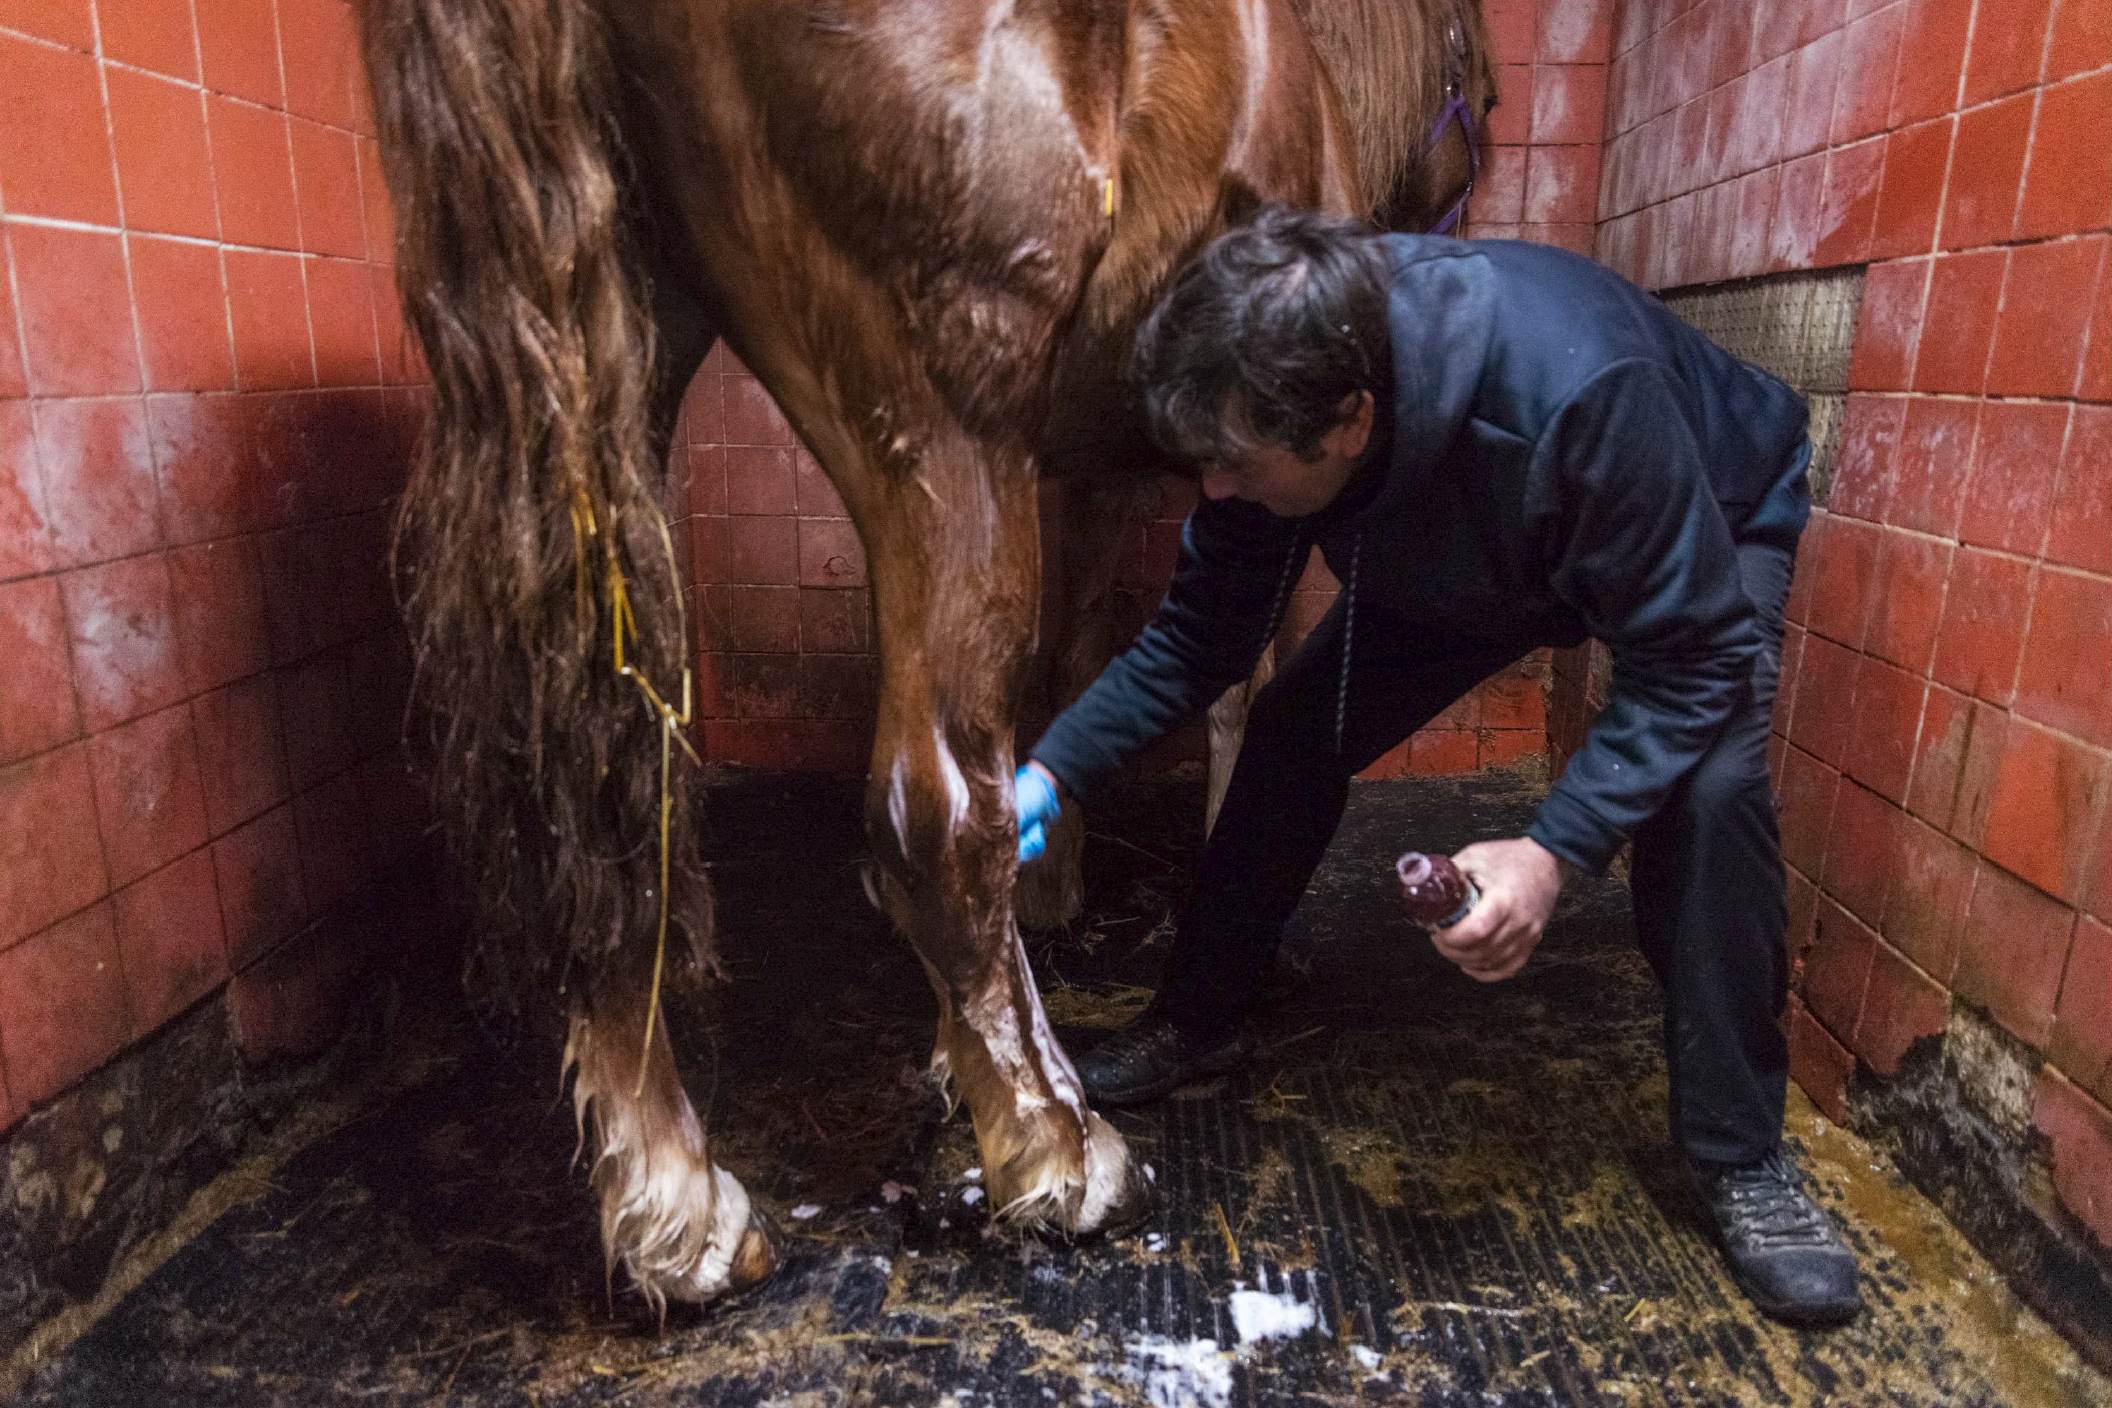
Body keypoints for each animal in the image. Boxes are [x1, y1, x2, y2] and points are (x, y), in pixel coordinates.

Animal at [354, 0, 1495, 1308]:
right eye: (1484, 91)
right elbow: (1233, 688)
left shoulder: (1091, 468)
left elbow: (1077, 664)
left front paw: (1023, 940)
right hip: (947, 414)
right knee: (933, 805)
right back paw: (1057, 1147)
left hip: (618, 366)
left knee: (603, 780)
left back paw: (677, 1209)